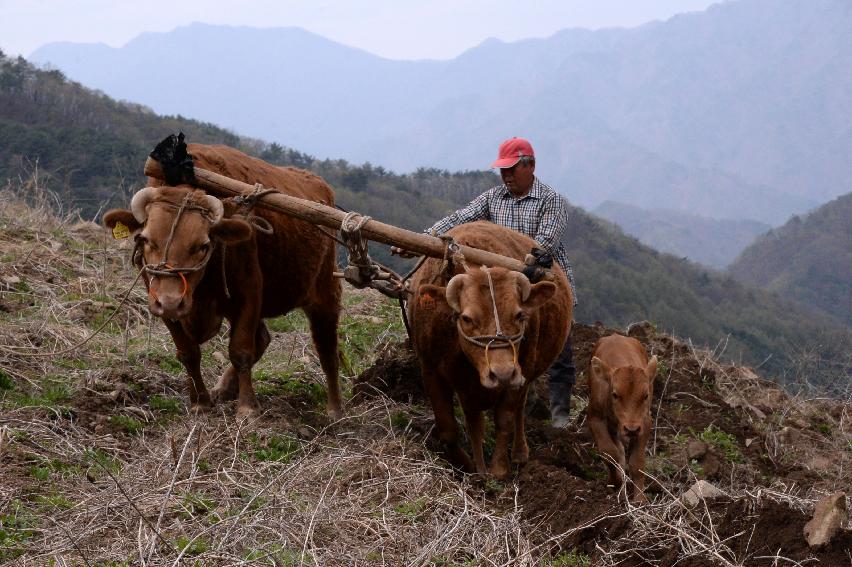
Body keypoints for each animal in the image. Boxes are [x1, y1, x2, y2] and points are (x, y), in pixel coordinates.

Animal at [584, 332, 660, 502]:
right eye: (615, 394)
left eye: (645, 396)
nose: (631, 429)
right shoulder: (594, 417)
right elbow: (609, 452)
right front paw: (615, 482)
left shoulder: (644, 423)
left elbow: (637, 463)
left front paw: (639, 500)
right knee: (617, 449)